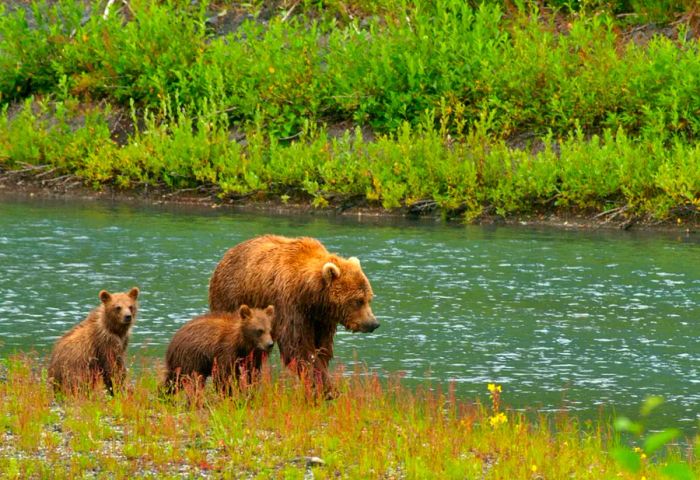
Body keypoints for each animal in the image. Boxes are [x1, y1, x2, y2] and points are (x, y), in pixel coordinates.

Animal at [209, 234, 378, 396]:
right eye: (358, 301)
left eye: (369, 298)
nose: (373, 323)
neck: (311, 295)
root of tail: (225, 257)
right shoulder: (290, 305)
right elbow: (298, 346)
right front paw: (326, 388)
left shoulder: (321, 318)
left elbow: (322, 347)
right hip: (233, 299)